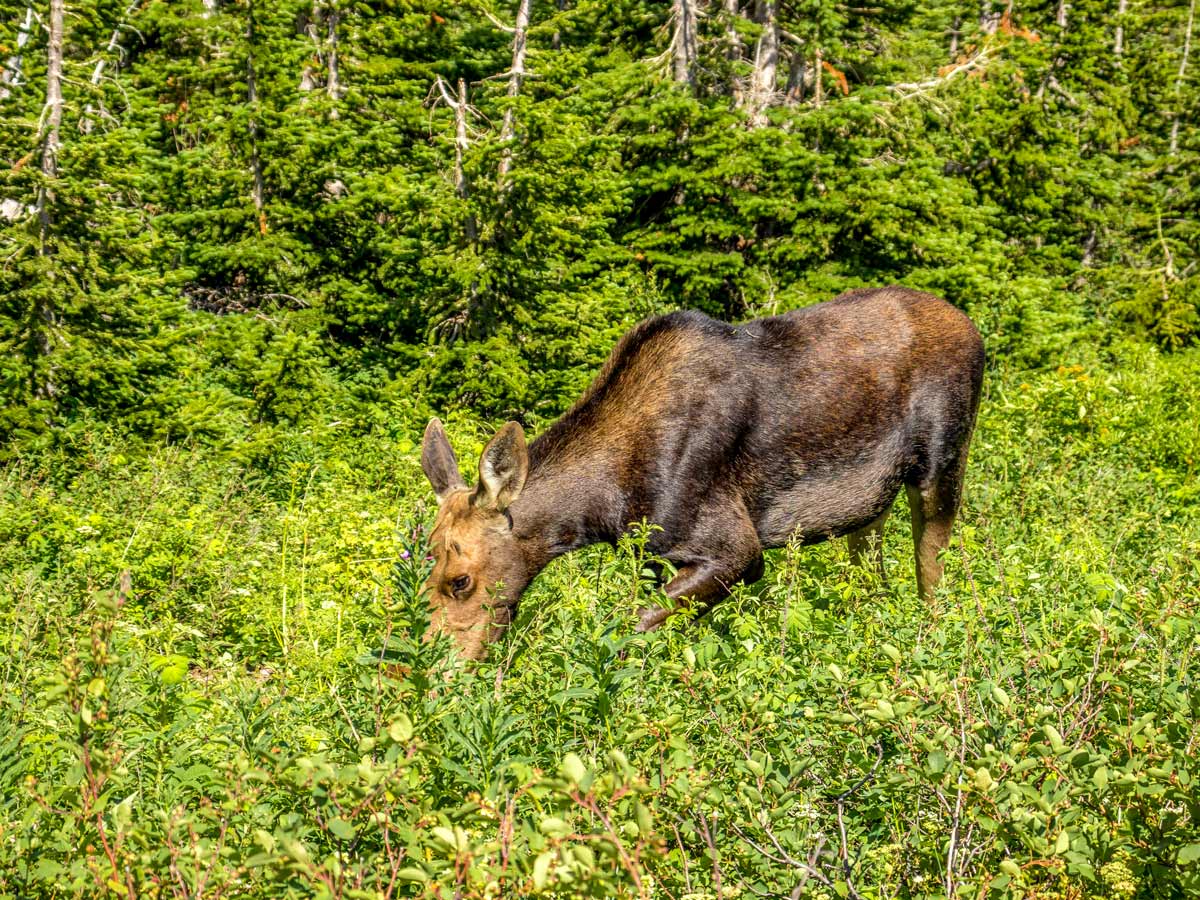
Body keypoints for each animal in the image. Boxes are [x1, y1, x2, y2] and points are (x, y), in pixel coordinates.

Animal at [422, 289, 984, 662]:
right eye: (424, 566)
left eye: (460, 580)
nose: (434, 668)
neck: (600, 508)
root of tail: (974, 328)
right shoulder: (655, 556)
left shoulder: (735, 550)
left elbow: (629, 629)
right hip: (869, 507)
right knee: (873, 576)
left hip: (941, 467)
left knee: (933, 578)